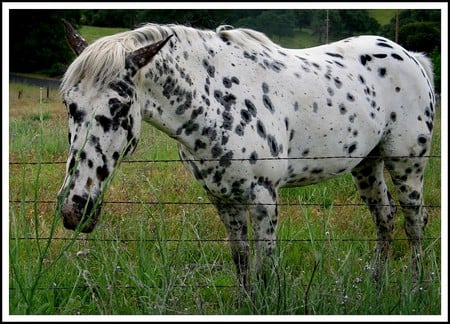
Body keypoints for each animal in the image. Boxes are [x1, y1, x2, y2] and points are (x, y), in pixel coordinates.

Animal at [58, 20, 434, 288]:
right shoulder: (223, 198)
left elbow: (264, 270)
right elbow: (241, 263)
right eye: (69, 105)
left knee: (415, 222)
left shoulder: (263, 199)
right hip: (367, 165)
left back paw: (415, 288)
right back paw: (376, 284)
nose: (75, 209)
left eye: (119, 106)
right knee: (384, 218)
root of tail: (412, 57)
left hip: (407, 164)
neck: (217, 103)